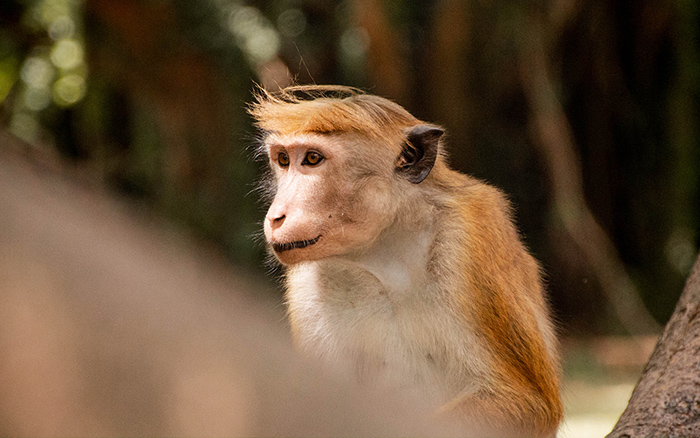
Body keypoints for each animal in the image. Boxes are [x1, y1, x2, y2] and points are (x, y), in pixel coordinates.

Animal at [250, 85, 563, 437]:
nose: (276, 217)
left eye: (313, 159)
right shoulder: (306, 280)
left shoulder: (469, 241)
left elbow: (523, 399)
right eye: (284, 160)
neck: (384, 251)